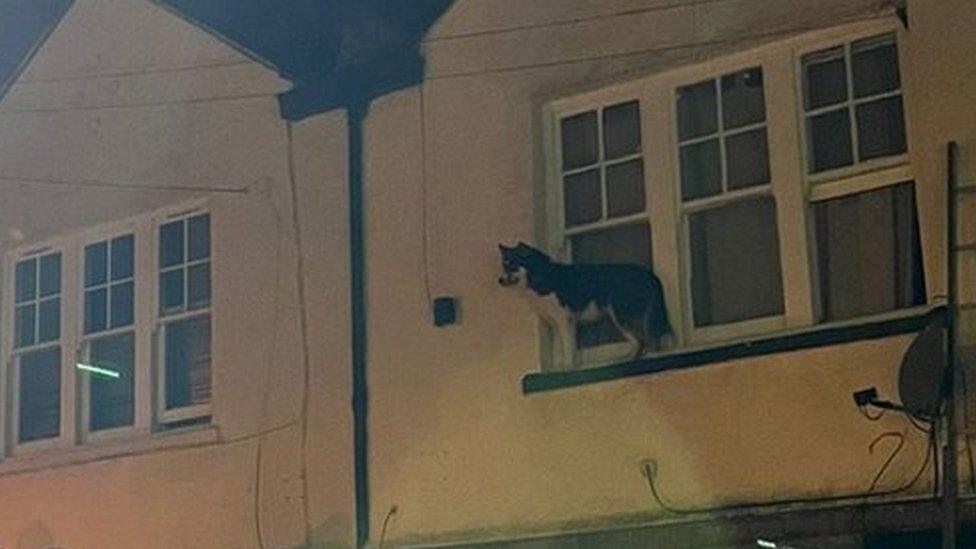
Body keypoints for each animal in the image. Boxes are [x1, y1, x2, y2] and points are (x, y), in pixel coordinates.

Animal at [496, 241, 672, 366]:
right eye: (503, 264)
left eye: (511, 264)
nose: (499, 280)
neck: (536, 276)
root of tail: (650, 275)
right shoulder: (563, 322)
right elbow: (568, 347)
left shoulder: (563, 318)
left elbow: (567, 348)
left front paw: (567, 367)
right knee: (643, 341)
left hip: (620, 314)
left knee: (643, 341)